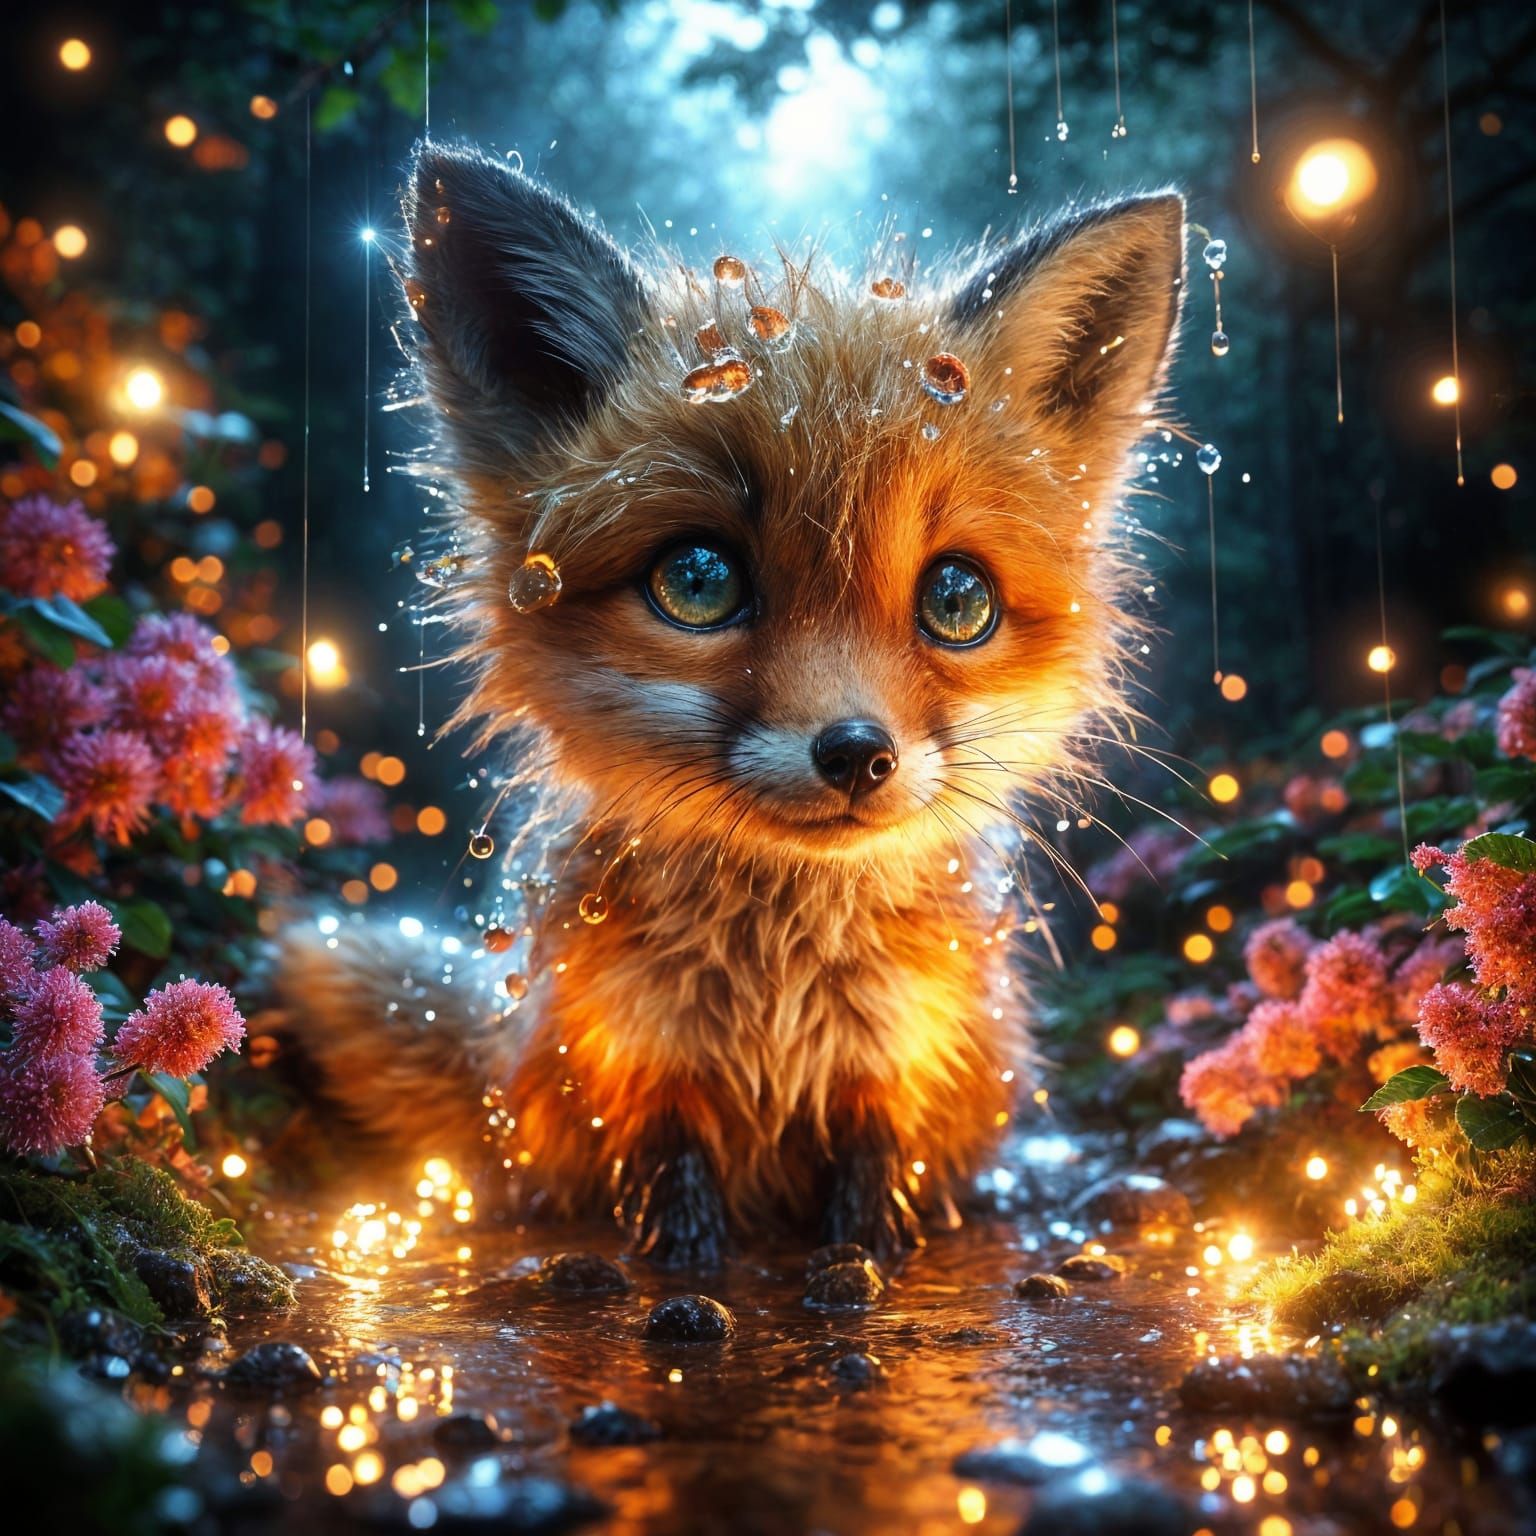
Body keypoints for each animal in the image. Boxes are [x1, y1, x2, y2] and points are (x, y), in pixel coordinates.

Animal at [277, 143, 1186, 1266]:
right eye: (698, 580)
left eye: (956, 600)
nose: (856, 754)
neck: (777, 989)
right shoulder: (636, 1053)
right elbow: (675, 1197)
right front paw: (683, 1273)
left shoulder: (903, 1055)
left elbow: (869, 1197)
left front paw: (858, 1267)